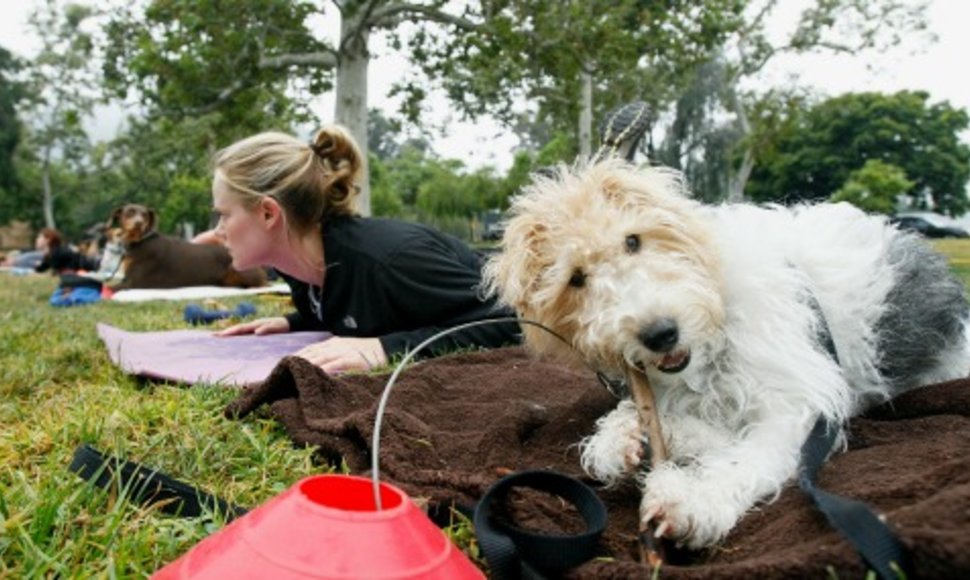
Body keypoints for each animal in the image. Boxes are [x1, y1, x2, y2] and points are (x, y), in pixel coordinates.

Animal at [484, 161, 968, 552]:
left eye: (633, 241)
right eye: (576, 278)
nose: (660, 333)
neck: (718, 317)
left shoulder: (797, 405)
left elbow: (744, 459)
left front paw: (690, 501)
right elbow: (710, 433)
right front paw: (621, 439)